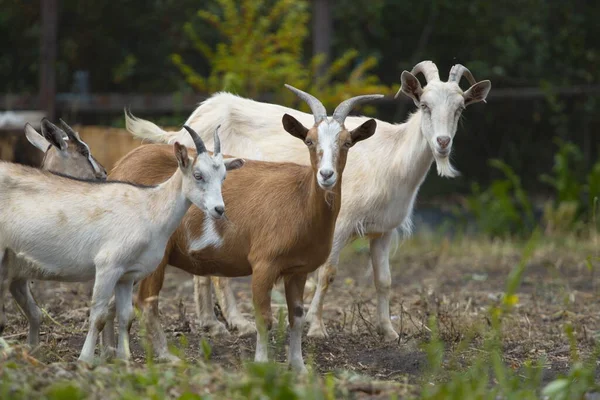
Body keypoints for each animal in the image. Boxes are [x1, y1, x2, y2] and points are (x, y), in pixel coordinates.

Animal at [108, 85, 382, 372]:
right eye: (309, 140)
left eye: (347, 142)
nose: (326, 175)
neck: (299, 197)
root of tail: (122, 165)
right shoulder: (264, 264)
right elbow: (264, 318)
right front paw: (261, 364)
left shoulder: (298, 270)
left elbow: (296, 318)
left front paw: (299, 367)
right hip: (155, 257)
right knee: (146, 303)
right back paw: (164, 355)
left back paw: (111, 351)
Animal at [124, 61, 490, 340]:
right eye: (424, 105)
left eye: (459, 109)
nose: (442, 142)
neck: (392, 155)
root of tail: (186, 127)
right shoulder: (340, 223)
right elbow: (327, 273)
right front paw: (316, 327)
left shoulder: (383, 231)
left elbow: (384, 280)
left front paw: (388, 332)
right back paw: (236, 323)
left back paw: (212, 324)